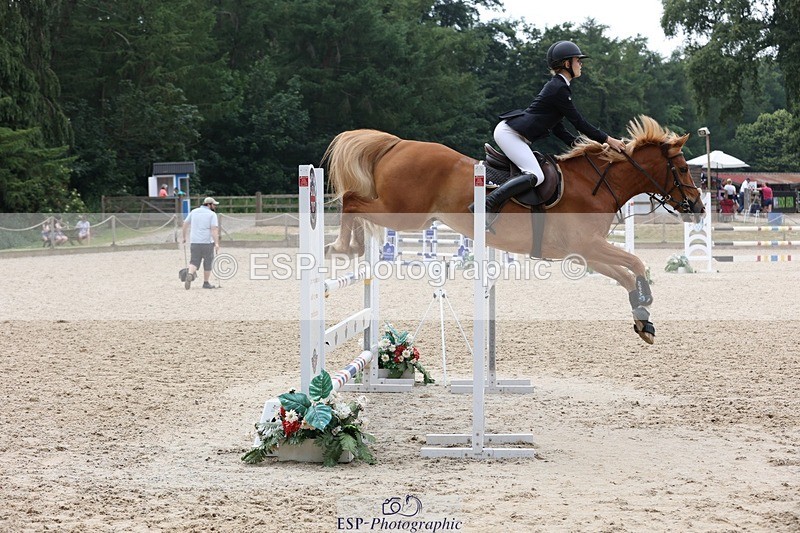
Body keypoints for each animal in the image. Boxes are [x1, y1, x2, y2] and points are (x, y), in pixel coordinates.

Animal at [322, 116, 705, 344]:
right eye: (685, 168)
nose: (698, 207)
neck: (593, 185)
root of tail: (396, 143)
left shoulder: (583, 252)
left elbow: (625, 275)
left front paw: (643, 320)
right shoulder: (588, 246)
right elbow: (637, 264)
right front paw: (646, 301)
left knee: (355, 203)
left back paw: (354, 246)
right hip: (406, 214)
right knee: (351, 199)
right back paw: (342, 246)